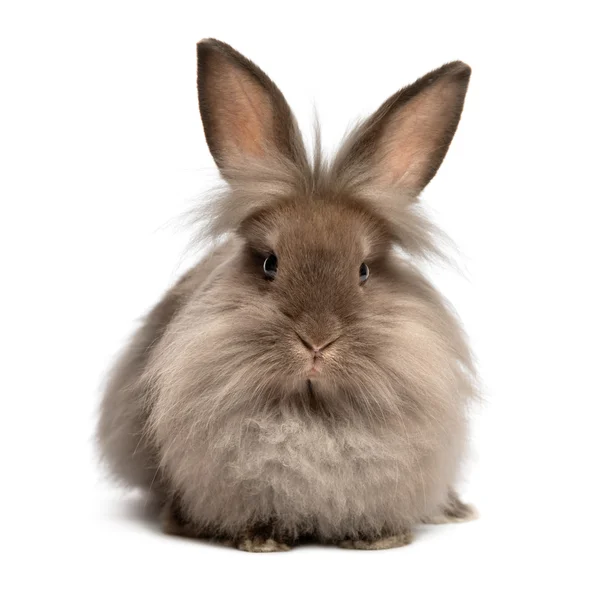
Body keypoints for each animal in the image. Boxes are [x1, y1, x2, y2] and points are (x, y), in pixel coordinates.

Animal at [97, 38, 478, 552]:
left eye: (363, 271)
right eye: (269, 264)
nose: (316, 342)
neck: (310, 409)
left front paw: (380, 538)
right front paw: (259, 540)